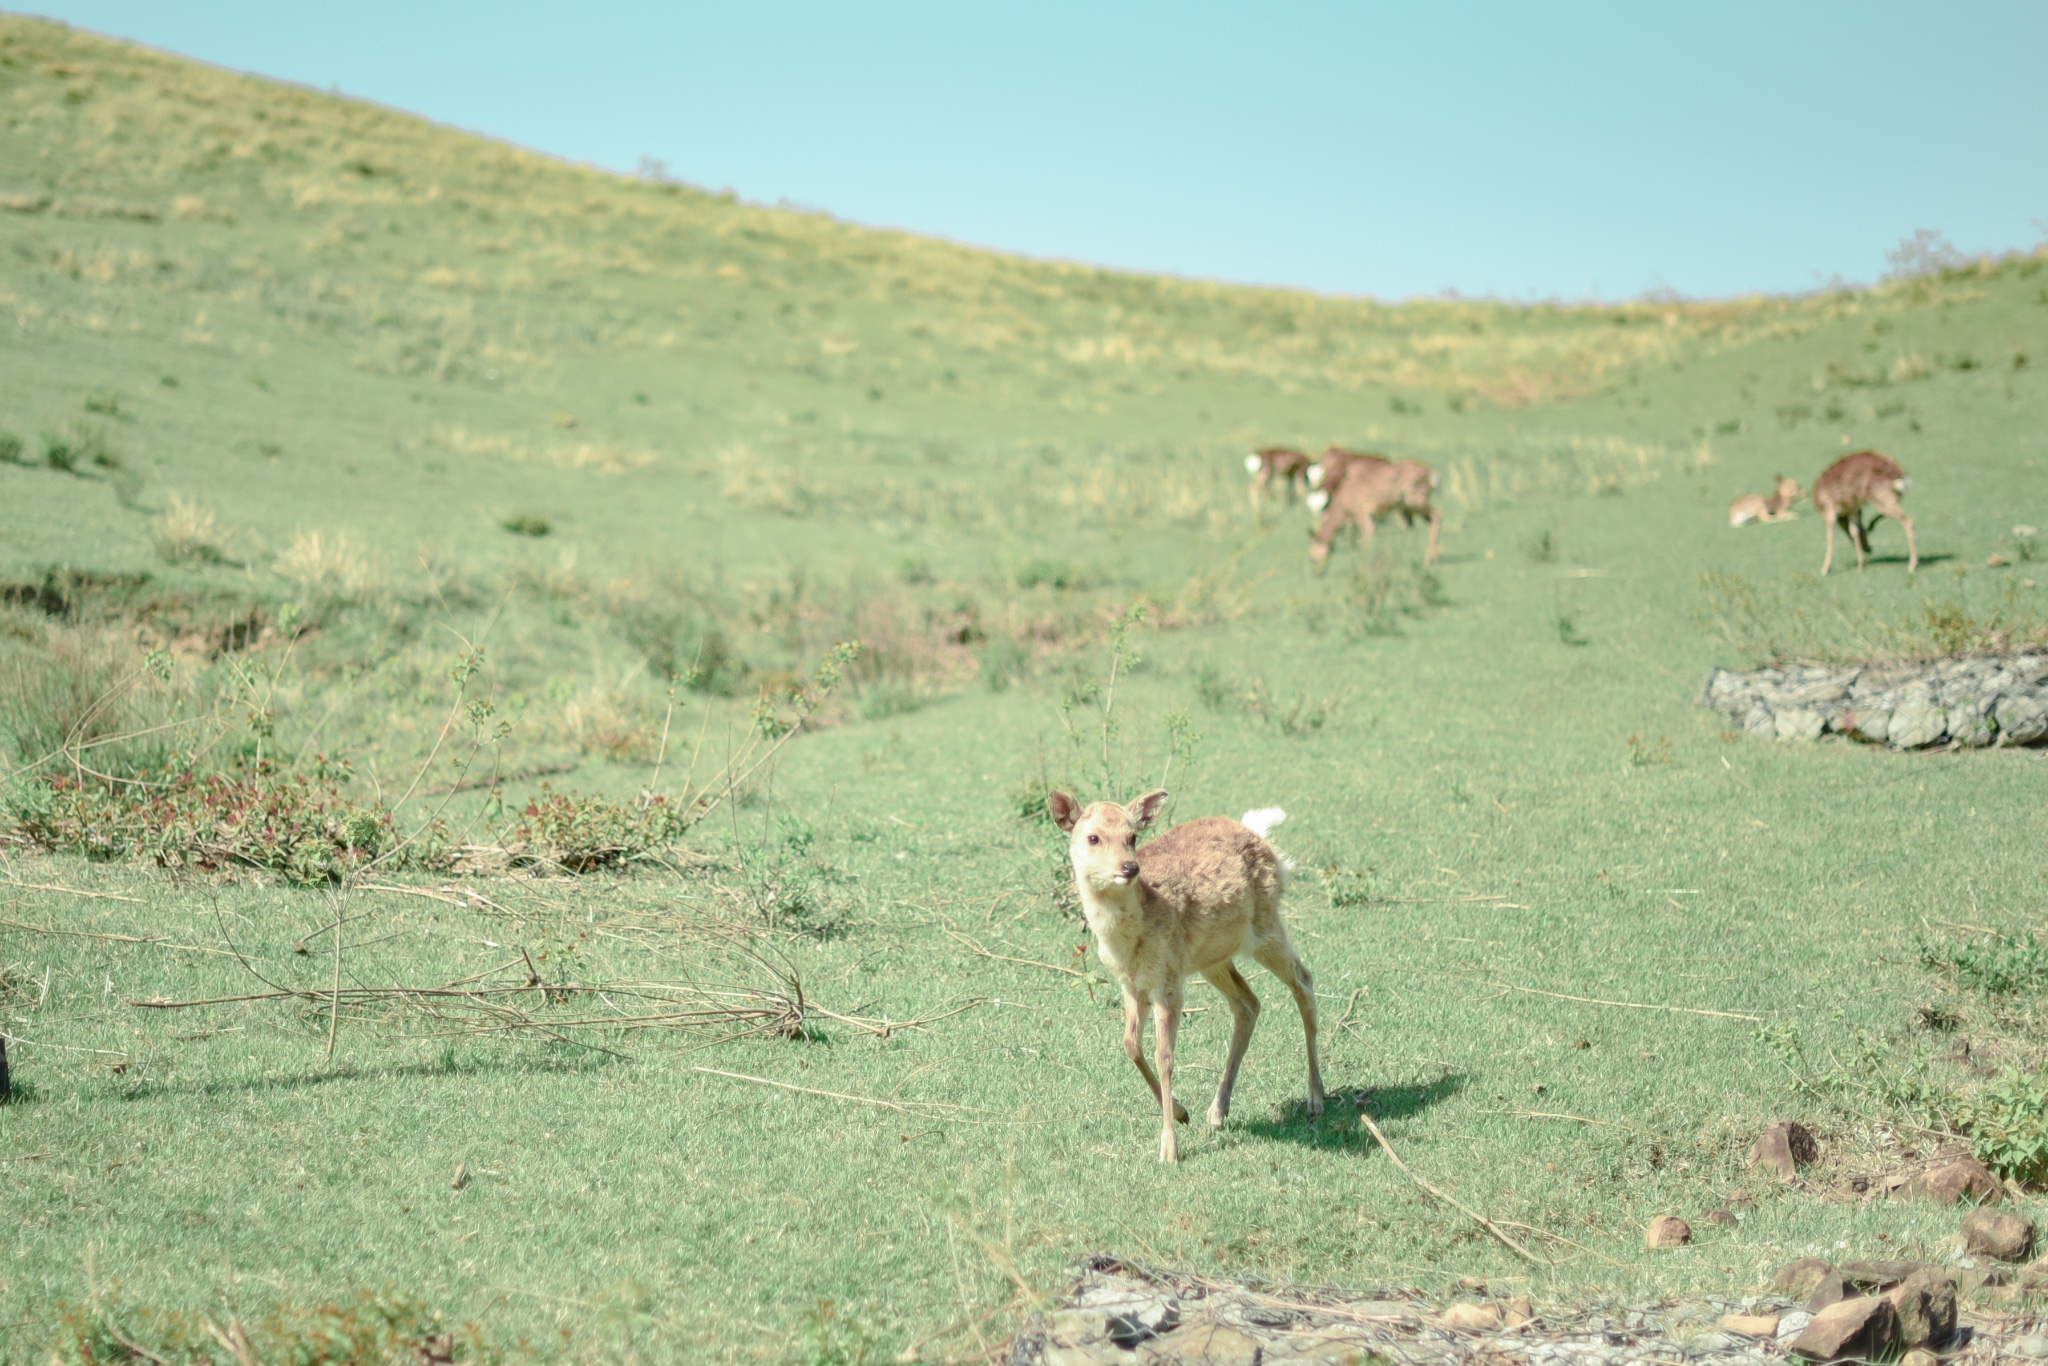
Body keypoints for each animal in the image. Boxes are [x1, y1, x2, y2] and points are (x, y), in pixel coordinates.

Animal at [1040, 790, 1327, 1163]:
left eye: (1133, 837)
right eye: (1093, 837)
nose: (1129, 867)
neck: (1126, 944)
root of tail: (1258, 831)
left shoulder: (1168, 978)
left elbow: (1165, 1057)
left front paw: (1169, 1148)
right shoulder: (1131, 983)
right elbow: (1130, 1044)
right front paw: (1181, 1112)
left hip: (1265, 927)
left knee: (1303, 980)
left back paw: (1316, 1099)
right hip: (1212, 957)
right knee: (1248, 1002)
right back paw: (1217, 1111)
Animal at [1302, 450, 1449, 573]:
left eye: (1311, 557)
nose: (1317, 573)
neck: (1343, 504)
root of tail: (1432, 474)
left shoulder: (1363, 514)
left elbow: (1366, 544)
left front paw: (1365, 569)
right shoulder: (1367, 517)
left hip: (1415, 500)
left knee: (1436, 515)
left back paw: (1429, 559)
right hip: (1412, 505)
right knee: (1432, 520)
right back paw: (1432, 558)